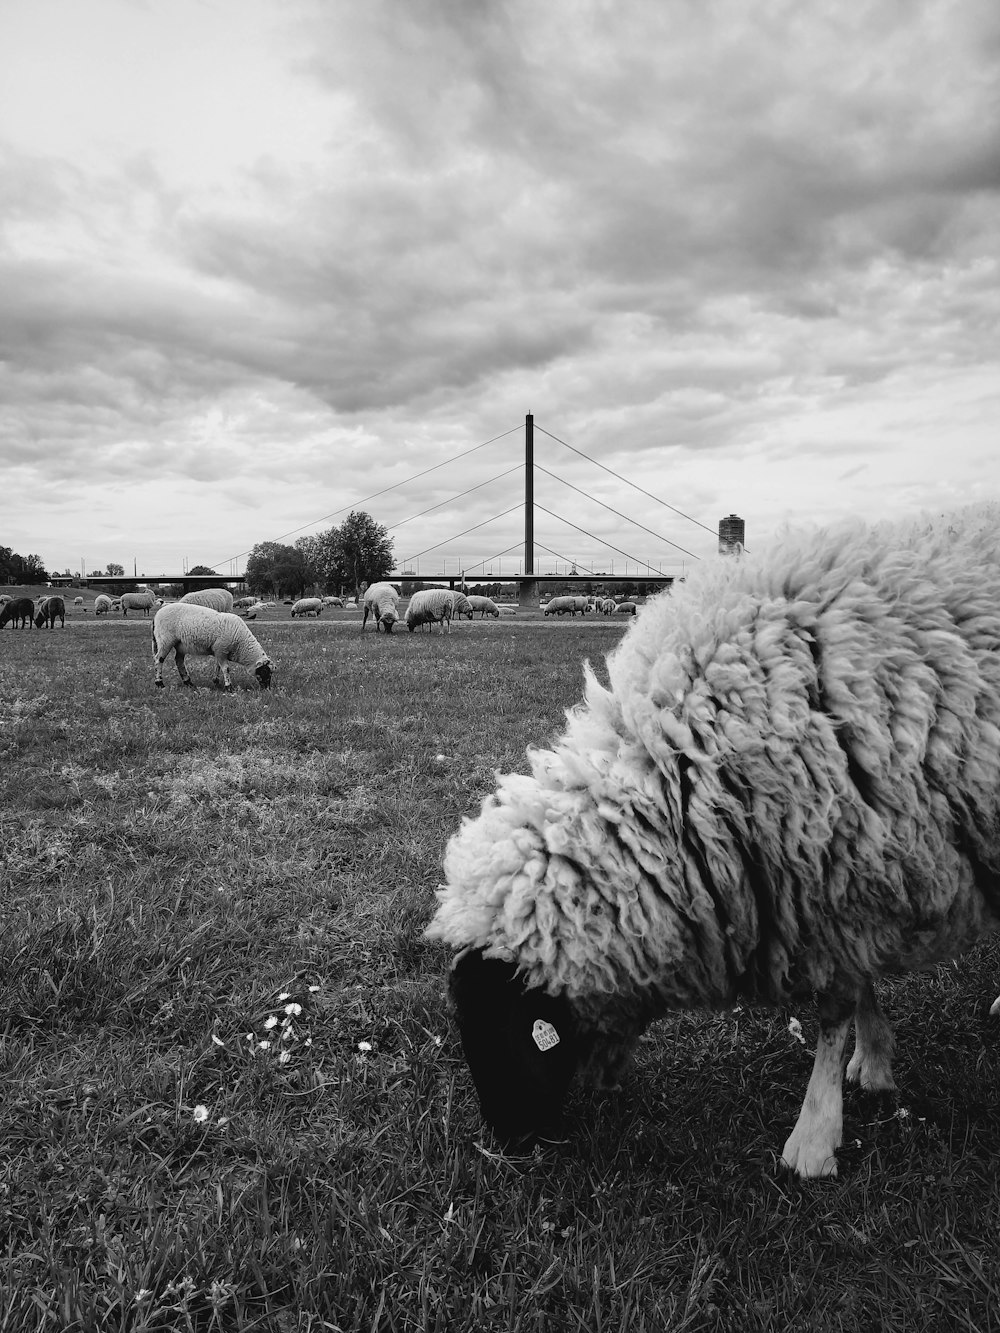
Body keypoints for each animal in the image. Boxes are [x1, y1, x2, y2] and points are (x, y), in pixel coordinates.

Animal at [426, 501, 1000, 1178]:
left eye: (514, 1027)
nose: (509, 1143)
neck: (683, 768)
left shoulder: (834, 870)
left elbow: (833, 1013)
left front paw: (814, 1137)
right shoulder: (840, 879)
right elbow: (858, 988)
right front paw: (875, 1061)